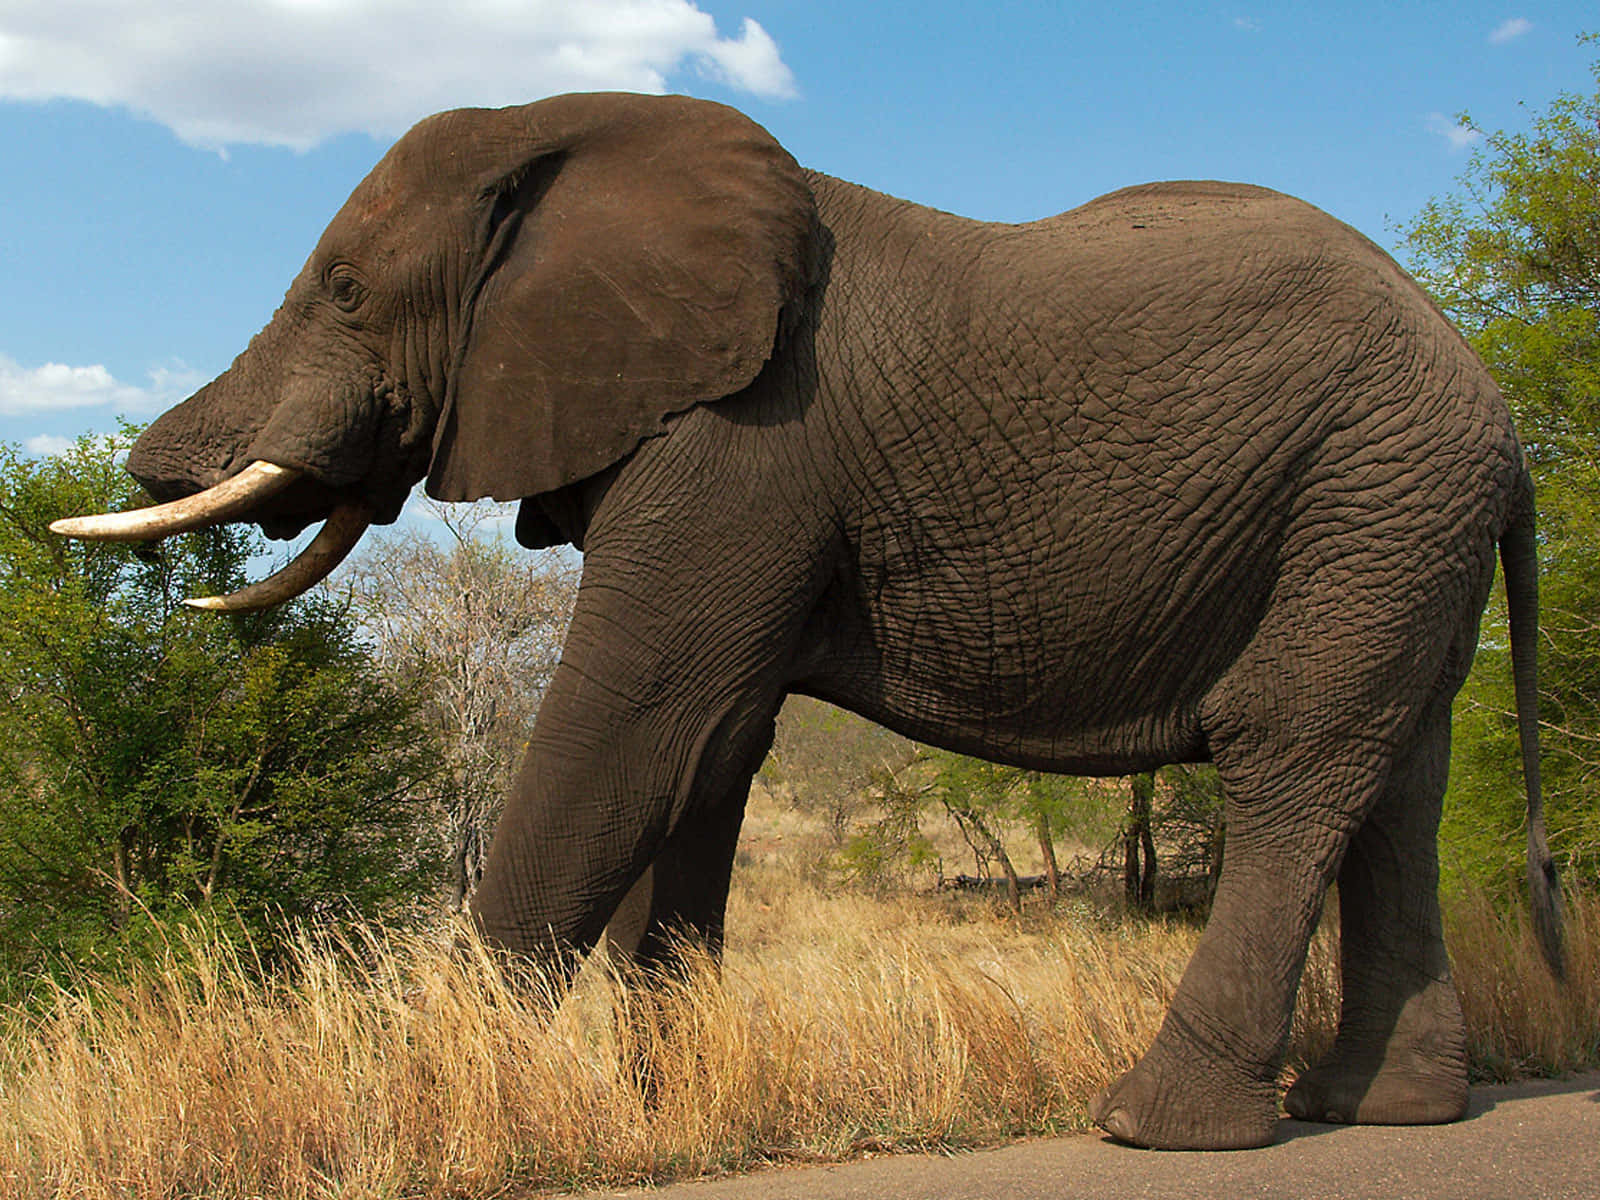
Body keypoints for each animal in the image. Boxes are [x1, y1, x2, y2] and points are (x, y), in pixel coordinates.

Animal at [53, 92, 1563, 1151]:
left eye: (347, 290)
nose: (122, 472)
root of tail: (1496, 410)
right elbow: (706, 750)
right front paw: (670, 1109)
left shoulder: (745, 445)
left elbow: (635, 721)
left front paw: (429, 1110)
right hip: (1392, 518)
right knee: (1398, 774)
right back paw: (1385, 1112)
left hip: (1374, 485)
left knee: (1292, 748)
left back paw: (1162, 1125)